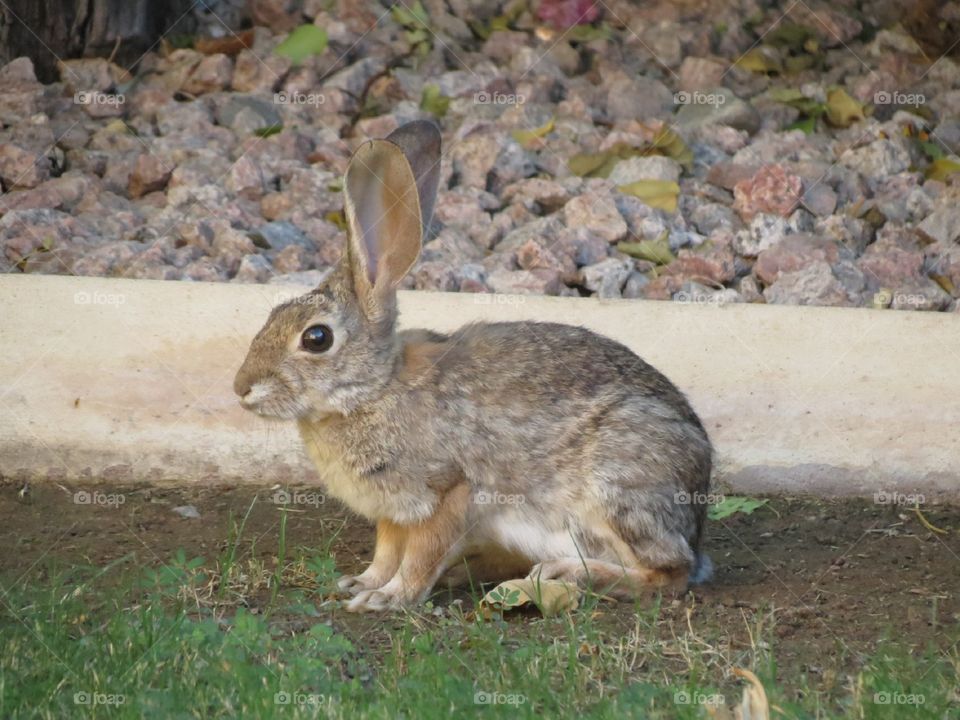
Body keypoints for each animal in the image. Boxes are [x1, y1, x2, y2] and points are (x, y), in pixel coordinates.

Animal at [233, 120, 714, 612]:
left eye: (317, 338)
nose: (241, 387)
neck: (375, 389)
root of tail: (697, 518)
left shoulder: (451, 491)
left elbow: (420, 555)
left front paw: (388, 598)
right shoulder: (395, 513)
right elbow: (386, 552)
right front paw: (362, 584)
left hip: (616, 488)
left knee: (667, 574)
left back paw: (569, 573)